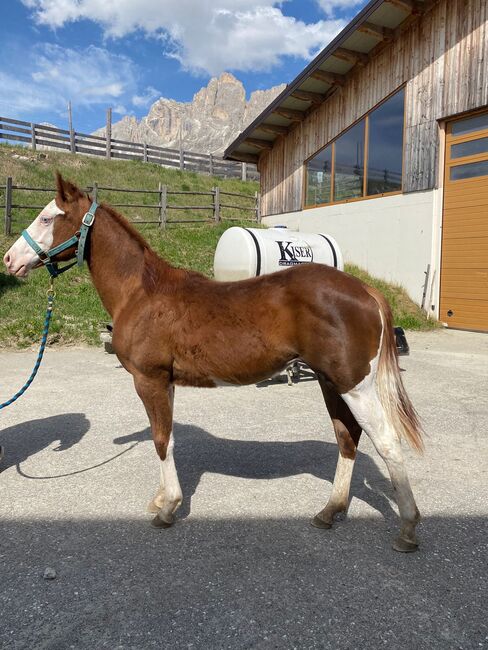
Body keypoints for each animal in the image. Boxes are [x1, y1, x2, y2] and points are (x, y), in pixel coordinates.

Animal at [3, 173, 423, 552]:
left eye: (47, 218)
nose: (10, 259)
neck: (142, 294)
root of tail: (366, 290)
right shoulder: (166, 382)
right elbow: (167, 437)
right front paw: (162, 499)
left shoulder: (148, 380)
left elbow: (160, 439)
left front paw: (168, 509)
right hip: (329, 381)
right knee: (347, 437)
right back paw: (329, 511)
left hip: (354, 385)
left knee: (386, 441)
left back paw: (407, 528)